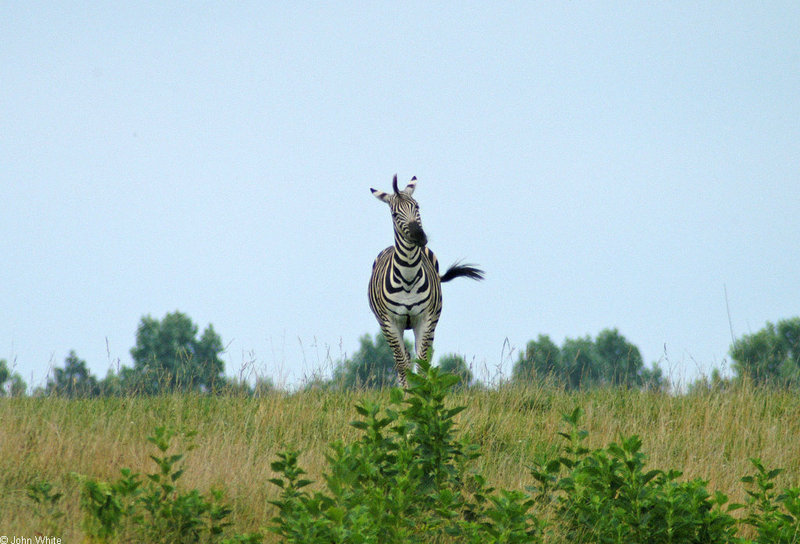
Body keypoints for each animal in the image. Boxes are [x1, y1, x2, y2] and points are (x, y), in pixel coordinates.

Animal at [368, 174, 484, 386]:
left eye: (417, 206)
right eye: (394, 214)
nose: (419, 237)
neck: (407, 277)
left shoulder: (426, 319)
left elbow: (422, 362)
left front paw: (422, 390)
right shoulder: (390, 322)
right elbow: (402, 363)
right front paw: (408, 392)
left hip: (430, 321)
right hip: (387, 326)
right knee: (402, 358)